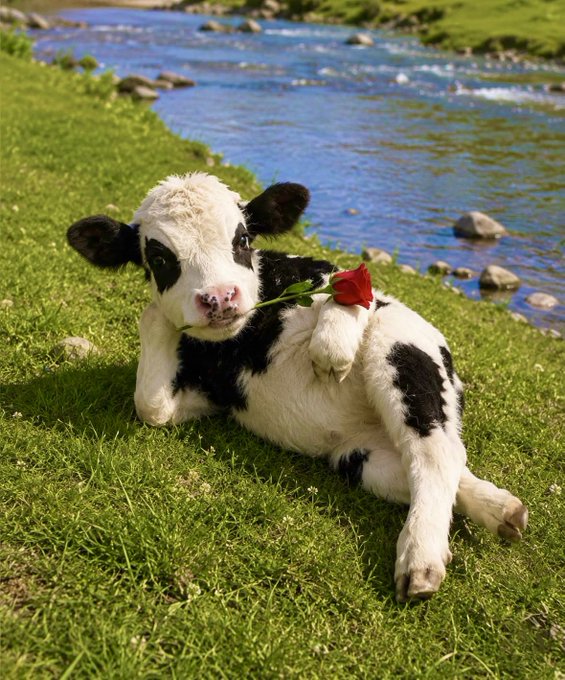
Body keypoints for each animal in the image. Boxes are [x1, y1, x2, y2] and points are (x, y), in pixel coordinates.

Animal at [67, 172, 528, 601]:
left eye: (243, 238)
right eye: (159, 258)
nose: (219, 298)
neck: (243, 343)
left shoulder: (332, 279)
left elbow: (349, 289)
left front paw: (331, 349)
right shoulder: (207, 396)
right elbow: (151, 404)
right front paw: (157, 317)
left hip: (401, 350)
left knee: (434, 454)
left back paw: (421, 561)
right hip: (356, 457)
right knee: (429, 466)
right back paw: (502, 510)